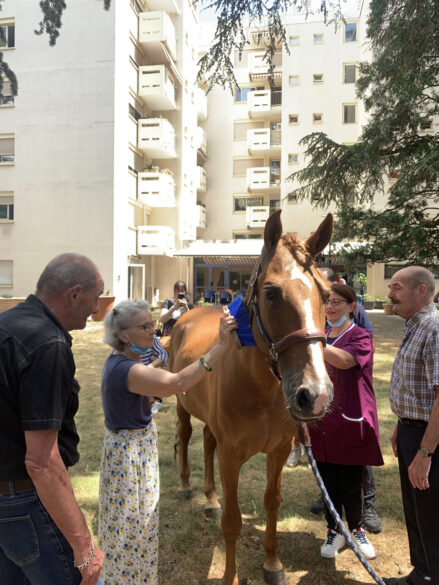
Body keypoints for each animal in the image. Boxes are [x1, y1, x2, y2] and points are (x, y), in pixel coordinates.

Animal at [170, 211, 336, 584]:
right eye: (271, 292)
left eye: (327, 293)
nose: (315, 395)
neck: (262, 392)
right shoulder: (231, 456)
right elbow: (232, 521)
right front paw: (230, 576)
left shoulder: (279, 451)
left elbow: (272, 501)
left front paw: (273, 564)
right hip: (181, 404)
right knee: (186, 436)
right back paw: (186, 486)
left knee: (206, 440)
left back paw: (210, 498)